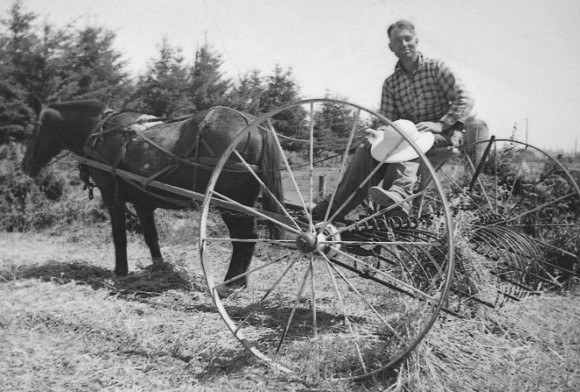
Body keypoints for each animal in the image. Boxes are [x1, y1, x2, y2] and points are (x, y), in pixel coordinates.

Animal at [21, 97, 284, 294]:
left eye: (36, 129)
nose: (25, 165)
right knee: (248, 238)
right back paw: (241, 281)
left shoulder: (111, 196)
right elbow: (151, 237)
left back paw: (231, 283)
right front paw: (159, 267)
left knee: (243, 238)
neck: (100, 133)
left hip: (230, 204)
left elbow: (119, 236)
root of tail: (253, 125)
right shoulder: (142, 201)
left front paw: (120, 270)